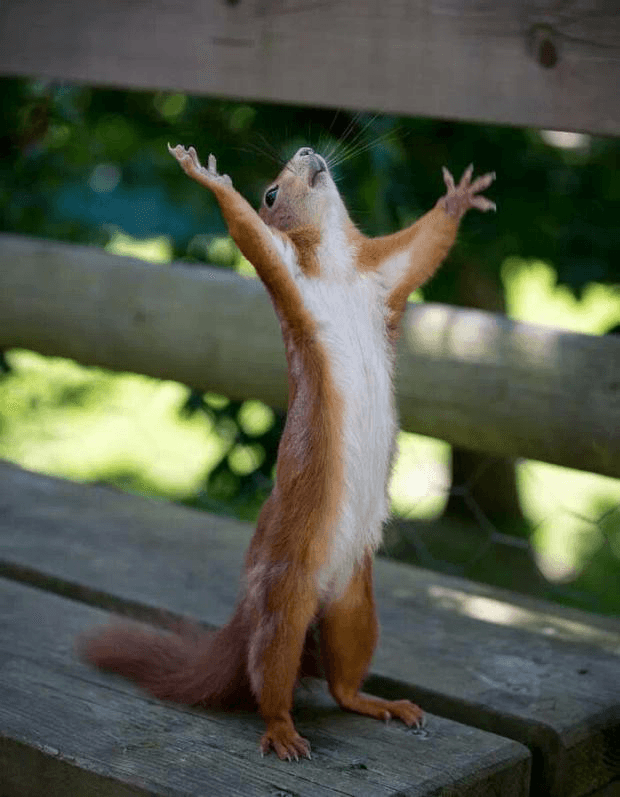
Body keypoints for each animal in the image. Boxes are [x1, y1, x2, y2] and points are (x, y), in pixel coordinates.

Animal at [81, 143, 495, 761]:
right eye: (271, 193)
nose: (306, 151)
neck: (339, 265)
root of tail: (249, 611)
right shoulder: (288, 275)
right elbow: (249, 234)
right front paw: (210, 179)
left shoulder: (384, 275)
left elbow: (423, 248)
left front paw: (458, 198)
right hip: (284, 600)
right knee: (269, 677)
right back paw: (282, 731)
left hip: (355, 603)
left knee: (342, 682)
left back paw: (379, 703)